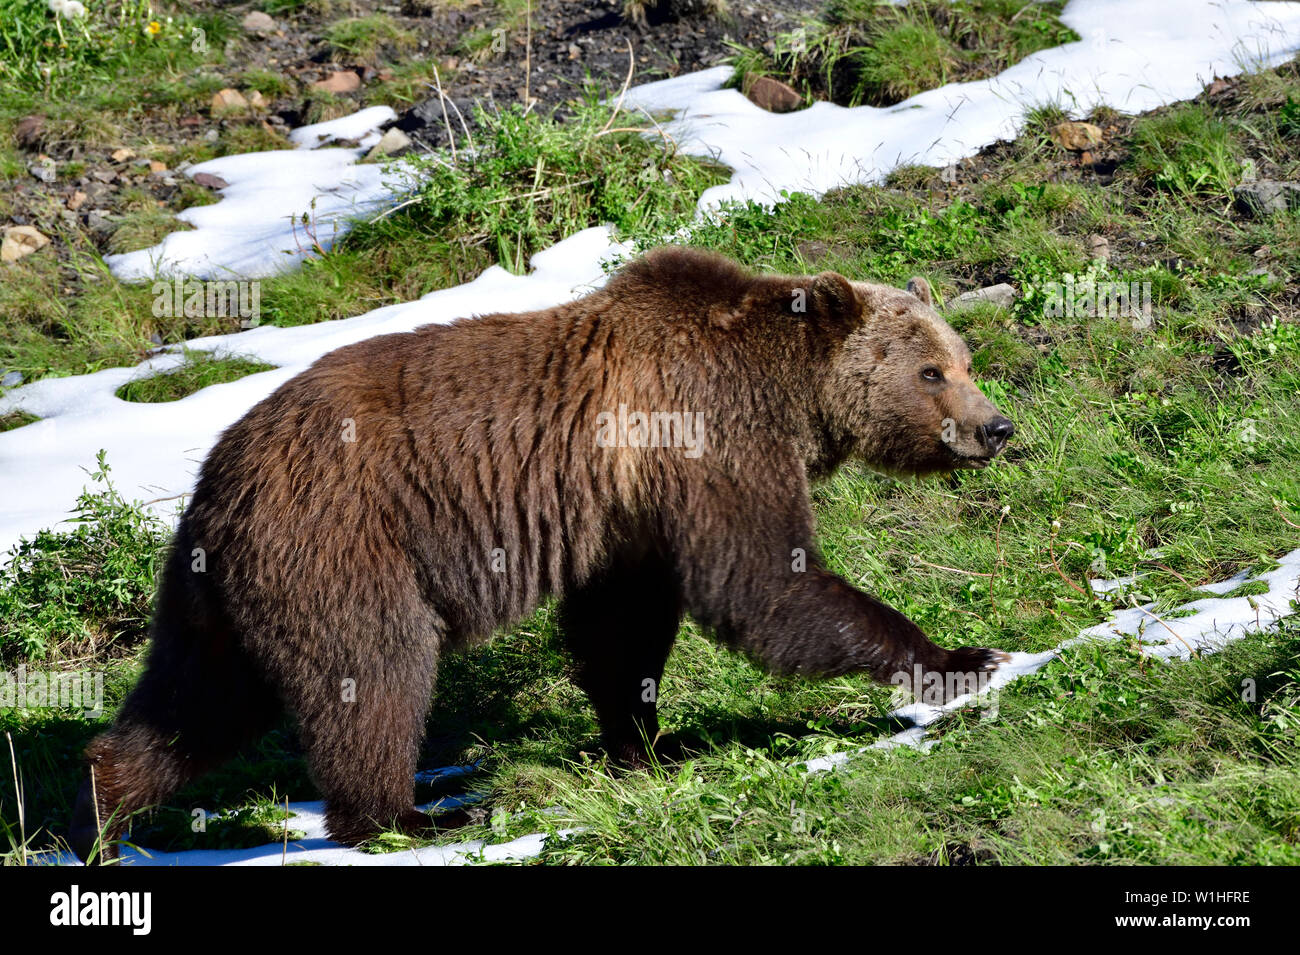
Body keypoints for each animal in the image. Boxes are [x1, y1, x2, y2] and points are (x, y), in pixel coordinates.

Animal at [71, 242, 1013, 862]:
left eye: (964, 357)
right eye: (931, 371)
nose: (995, 425)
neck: (786, 395)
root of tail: (214, 479)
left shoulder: (629, 514)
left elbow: (621, 629)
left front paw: (646, 742)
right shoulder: (704, 438)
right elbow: (761, 583)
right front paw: (959, 657)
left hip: (224, 590)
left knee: (192, 700)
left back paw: (102, 815)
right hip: (342, 545)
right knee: (374, 673)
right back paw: (409, 816)